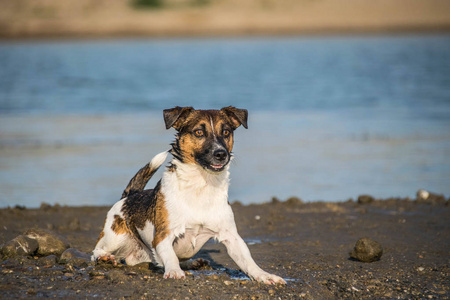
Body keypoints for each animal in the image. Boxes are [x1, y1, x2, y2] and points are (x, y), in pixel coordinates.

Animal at [92, 106, 284, 284]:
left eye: (226, 132)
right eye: (199, 132)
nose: (221, 154)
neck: (201, 185)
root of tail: (128, 196)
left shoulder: (232, 237)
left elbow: (248, 261)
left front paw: (264, 276)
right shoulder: (163, 236)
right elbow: (170, 256)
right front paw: (174, 271)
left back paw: (193, 262)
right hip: (114, 236)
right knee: (96, 251)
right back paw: (104, 258)